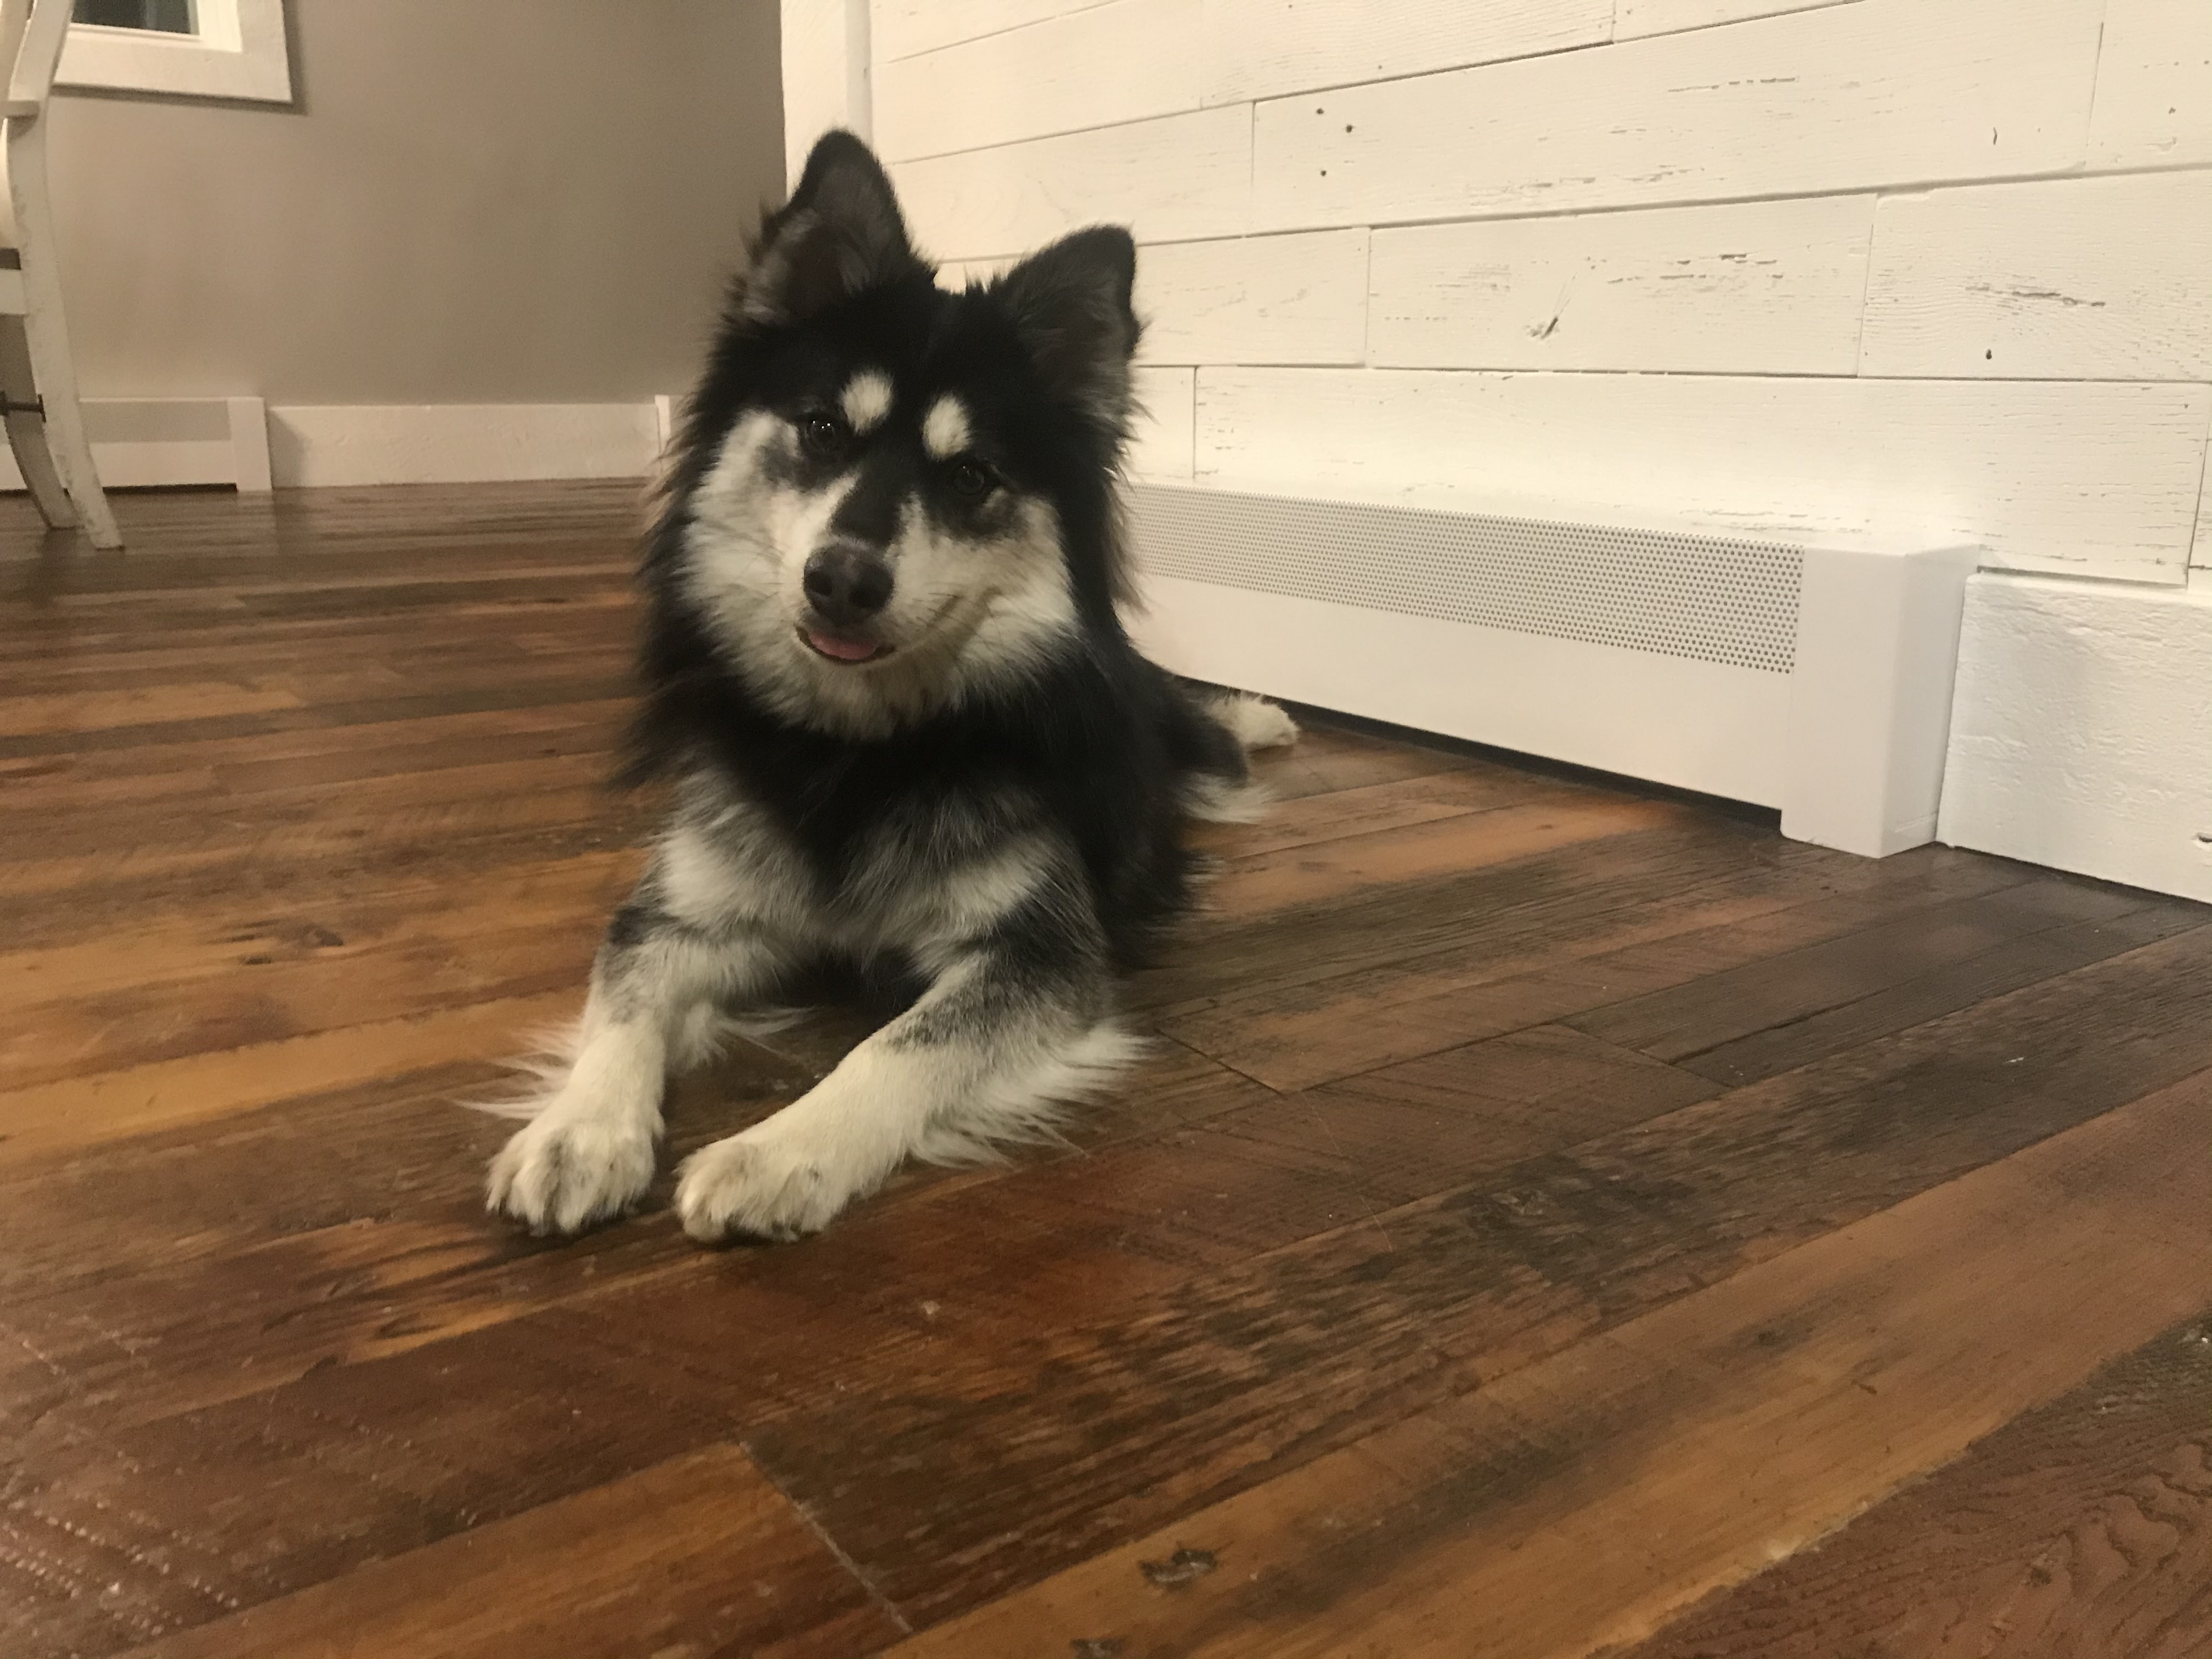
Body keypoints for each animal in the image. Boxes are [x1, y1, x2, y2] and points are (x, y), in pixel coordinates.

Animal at [484, 131, 1296, 1242]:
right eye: (823, 429)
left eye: (970, 477)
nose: (843, 580)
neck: (856, 750)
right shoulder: (687, 912)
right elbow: (624, 994)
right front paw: (580, 1128)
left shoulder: (1036, 951)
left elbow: (899, 1044)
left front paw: (781, 1150)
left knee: (1206, 736)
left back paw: (1262, 718)